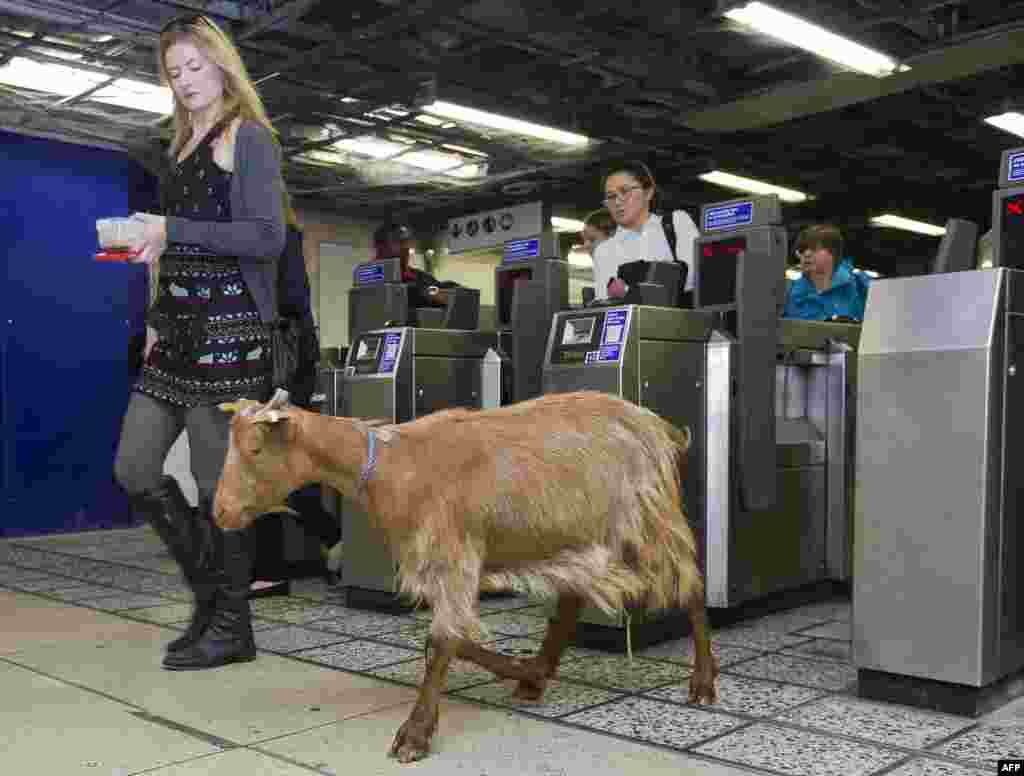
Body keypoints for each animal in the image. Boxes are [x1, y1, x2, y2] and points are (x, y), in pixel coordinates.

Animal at [211, 391, 716, 761]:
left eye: (255, 448)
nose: (221, 514)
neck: (398, 466)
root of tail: (655, 425)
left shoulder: (452, 556)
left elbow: (440, 643)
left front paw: (415, 734)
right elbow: (448, 639)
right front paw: (520, 669)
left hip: (648, 520)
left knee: (691, 585)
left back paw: (704, 682)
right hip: (577, 534)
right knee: (573, 601)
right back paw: (535, 675)